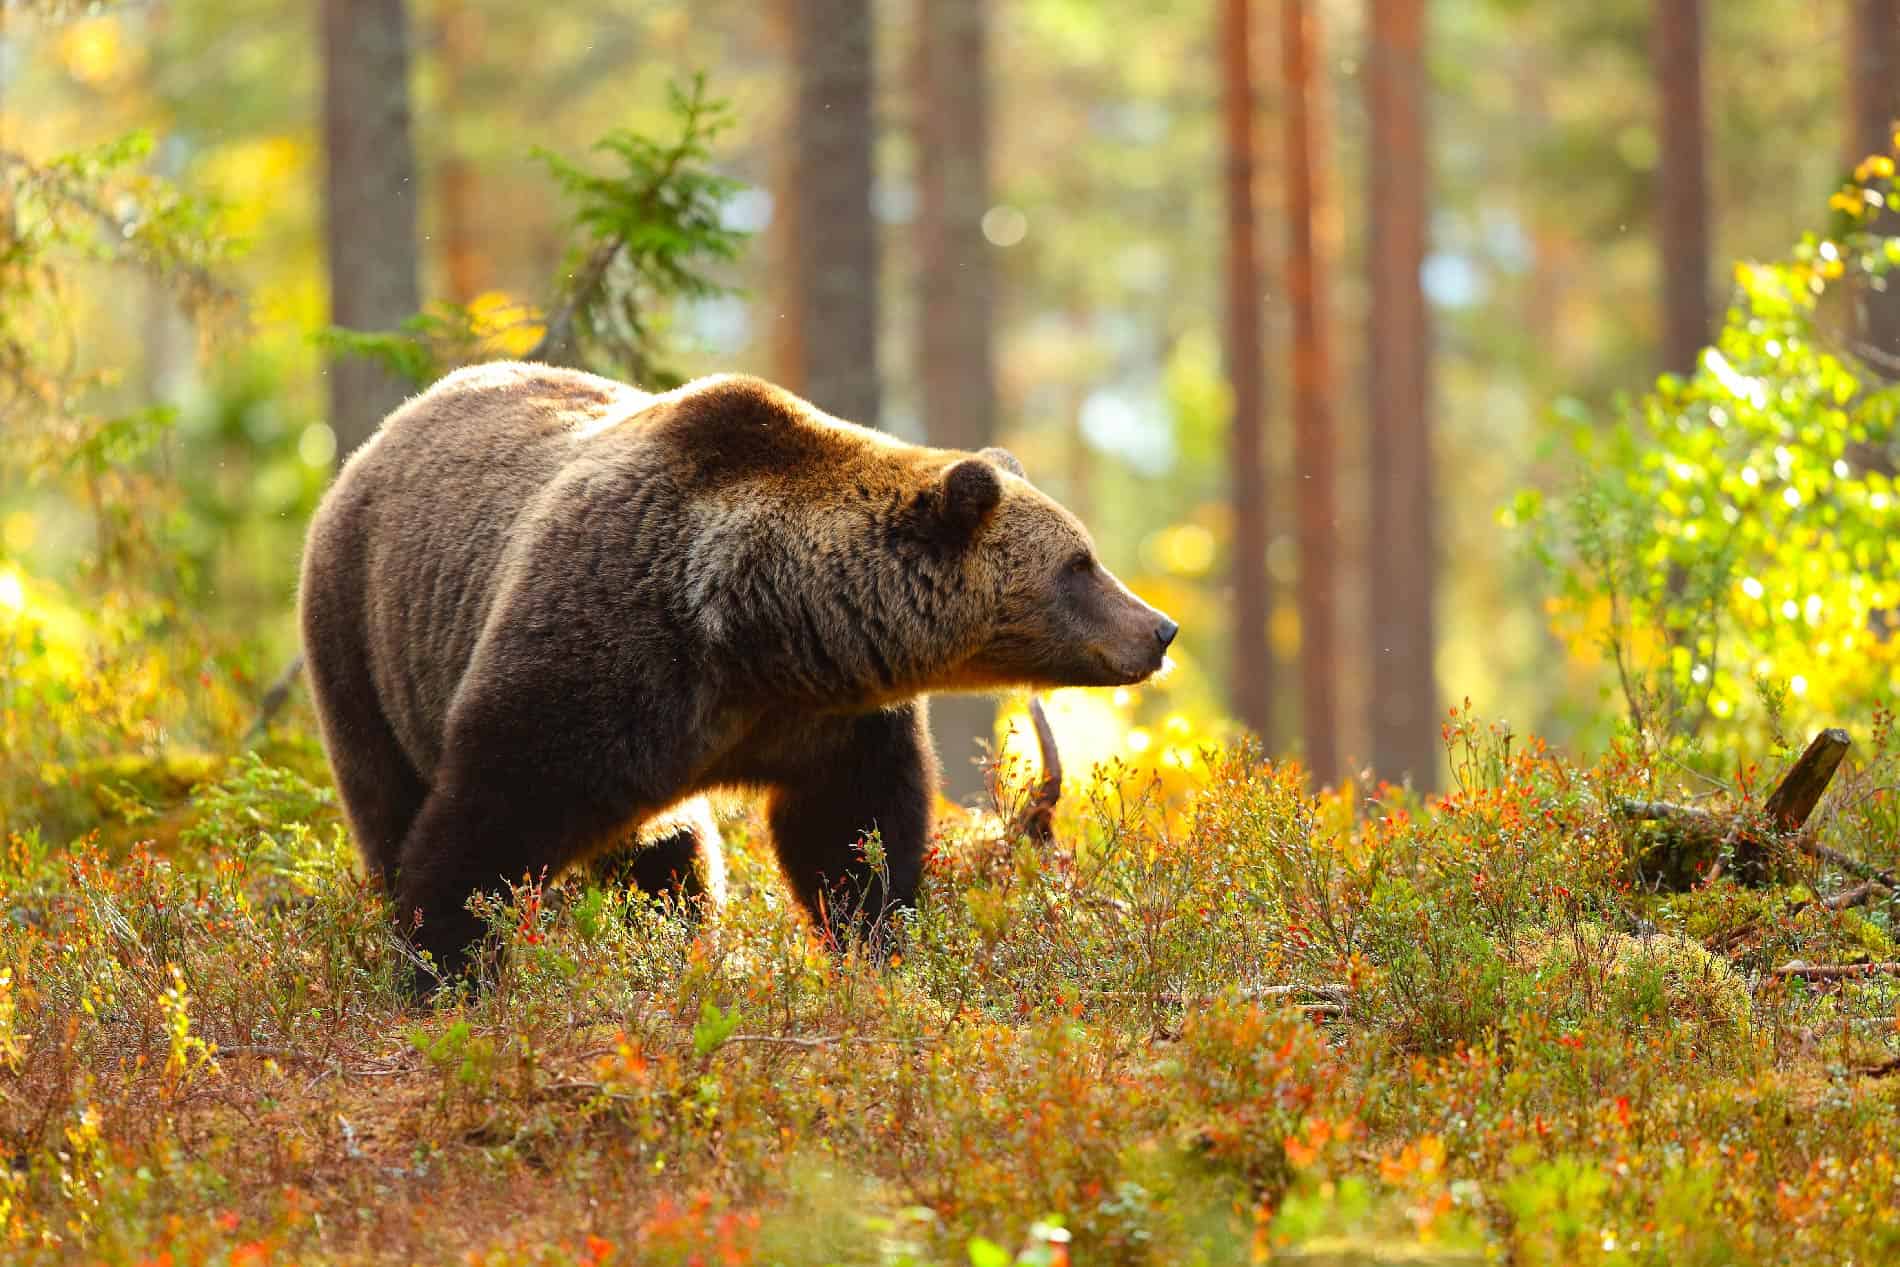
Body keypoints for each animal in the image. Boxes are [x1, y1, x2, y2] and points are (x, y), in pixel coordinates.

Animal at [300, 360, 1170, 987]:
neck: (758, 628)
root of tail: (379, 436)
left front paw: (875, 942)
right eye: (1079, 563)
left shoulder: (828, 719)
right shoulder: (602, 651)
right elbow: (490, 813)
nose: (1159, 628)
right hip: (363, 639)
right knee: (386, 795)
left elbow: (850, 834)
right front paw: (445, 965)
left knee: (668, 856)